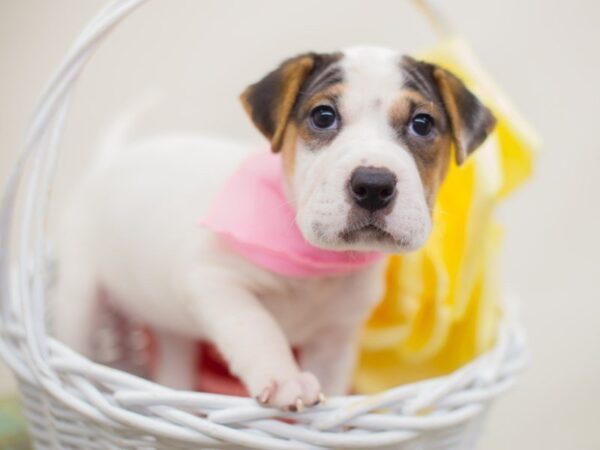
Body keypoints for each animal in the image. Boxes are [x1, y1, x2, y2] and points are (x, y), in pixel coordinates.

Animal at [54, 46, 494, 412]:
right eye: (323, 116)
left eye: (422, 123)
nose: (373, 185)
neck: (317, 261)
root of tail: (109, 161)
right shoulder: (216, 281)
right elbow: (258, 328)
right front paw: (284, 378)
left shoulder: (335, 337)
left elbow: (331, 379)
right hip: (78, 297)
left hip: (168, 322)